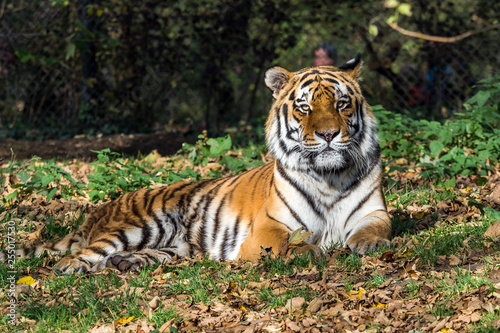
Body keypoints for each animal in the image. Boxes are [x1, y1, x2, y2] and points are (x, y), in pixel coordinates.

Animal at [0, 54, 390, 272]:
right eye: (305, 107)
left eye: (341, 104)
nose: (328, 134)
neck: (329, 177)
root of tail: (102, 209)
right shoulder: (270, 228)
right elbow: (287, 245)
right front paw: (310, 252)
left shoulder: (375, 211)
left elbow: (377, 229)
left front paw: (369, 244)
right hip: (138, 226)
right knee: (83, 254)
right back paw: (72, 268)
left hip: (175, 244)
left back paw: (128, 263)